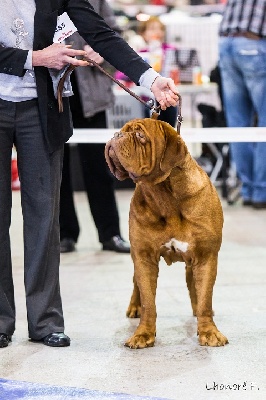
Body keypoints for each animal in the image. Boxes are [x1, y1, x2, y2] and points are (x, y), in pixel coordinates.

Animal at [105, 117, 228, 348]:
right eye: (122, 130)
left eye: (140, 135)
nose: (117, 135)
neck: (164, 195)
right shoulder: (144, 257)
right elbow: (148, 301)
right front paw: (143, 334)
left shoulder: (206, 256)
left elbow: (205, 297)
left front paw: (209, 331)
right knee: (136, 284)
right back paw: (134, 307)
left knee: (194, 286)